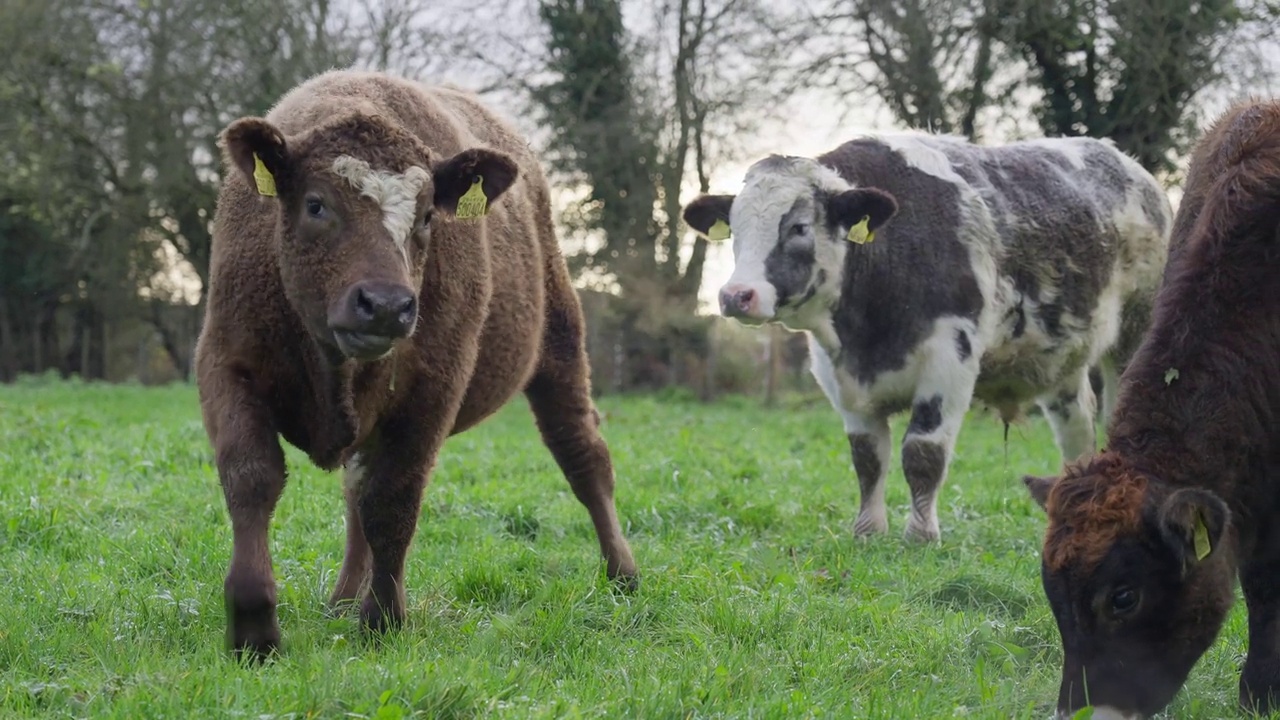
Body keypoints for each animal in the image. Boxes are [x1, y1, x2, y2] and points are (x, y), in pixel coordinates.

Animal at [195, 70, 640, 661]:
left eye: (428, 215)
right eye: (315, 204)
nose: (386, 304)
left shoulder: (432, 388)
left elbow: (393, 501)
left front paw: (383, 621)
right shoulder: (226, 363)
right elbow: (252, 477)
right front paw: (253, 625)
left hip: (560, 347)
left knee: (583, 455)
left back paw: (622, 573)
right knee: (355, 488)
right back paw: (342, 597)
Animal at [686, 133, 1172, 538]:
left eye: (799, 227)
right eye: (734, 228)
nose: (735, 295)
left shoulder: (949, 360)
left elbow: (923, 452)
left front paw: (920, 535)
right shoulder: (838, 375)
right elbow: (867, 457)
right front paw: (868, 531)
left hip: (1135, 331)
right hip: (1061, 357)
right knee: (1076, 426)